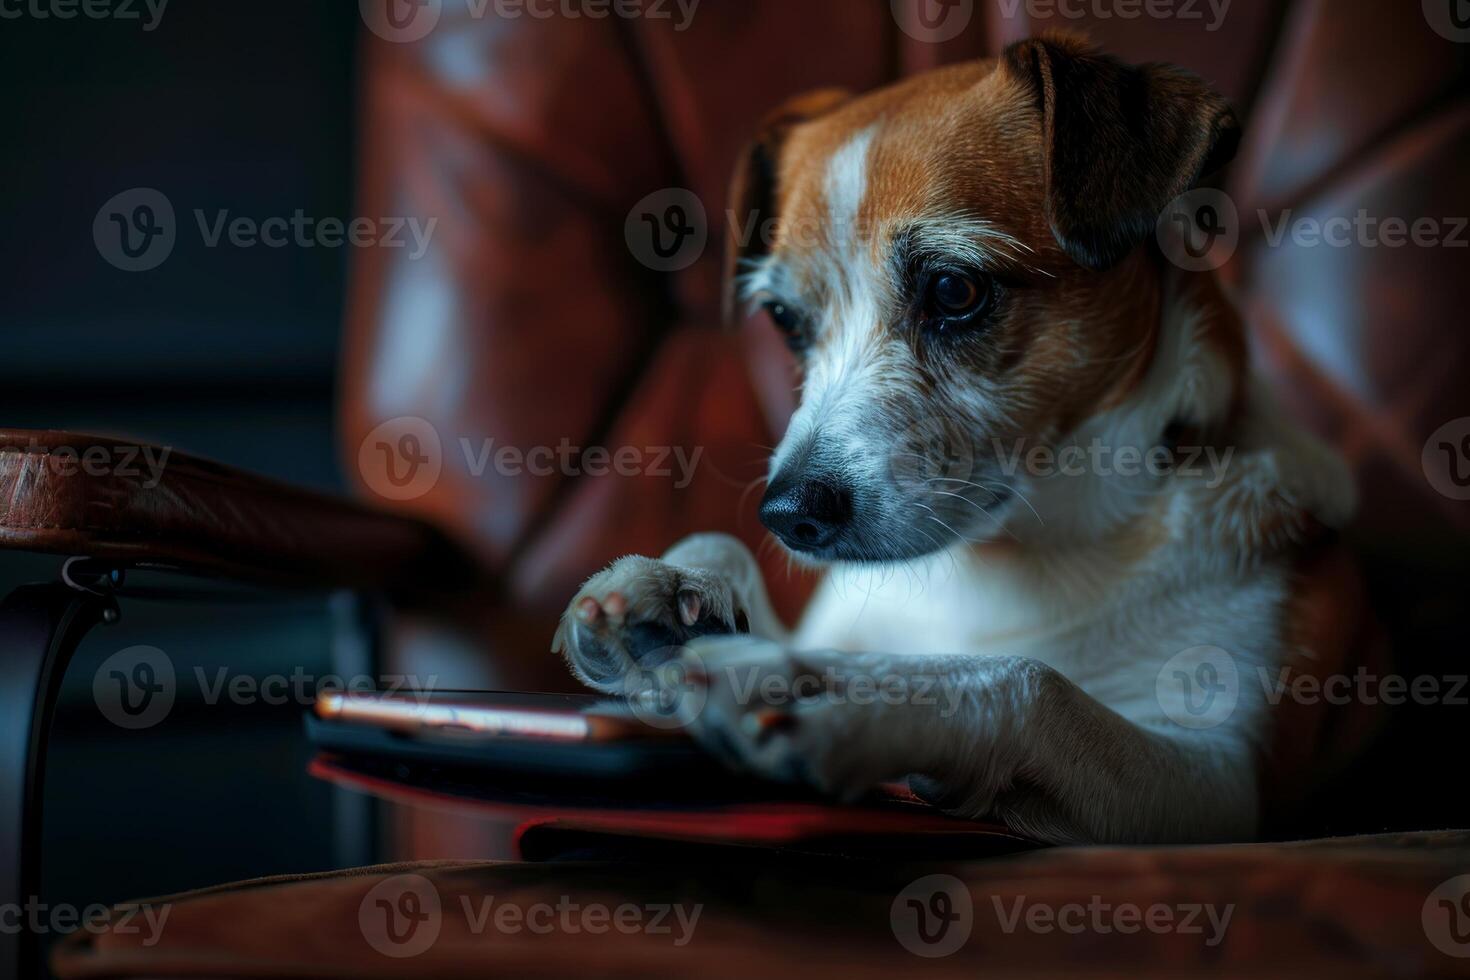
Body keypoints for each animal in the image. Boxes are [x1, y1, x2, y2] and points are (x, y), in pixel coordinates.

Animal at [552, 34, 1352, 846]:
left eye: (954, 290)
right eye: (784, 320)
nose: (788, 515)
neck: (1024, 557)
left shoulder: (1225, 783)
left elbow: (1033, 684)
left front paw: (838, 689)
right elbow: (724, 552)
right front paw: (676, 586)